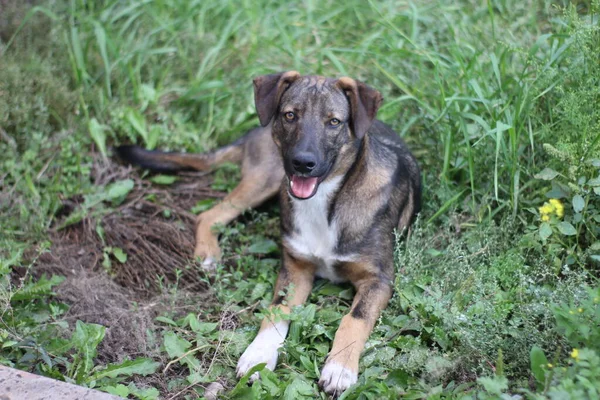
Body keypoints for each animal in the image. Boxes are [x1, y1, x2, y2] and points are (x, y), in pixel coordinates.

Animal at [113, 71, 422, 394]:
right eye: (290, 115)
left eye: (334, 121)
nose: (302, 163)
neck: (327, 199)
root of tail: (251, 132)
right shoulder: (296, 266)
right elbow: (277, 309)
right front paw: (259, 354)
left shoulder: (379, 279)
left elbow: (355, 318)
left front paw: (340, 368)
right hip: (267, 177)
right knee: (210, 215)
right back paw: (208, 253)